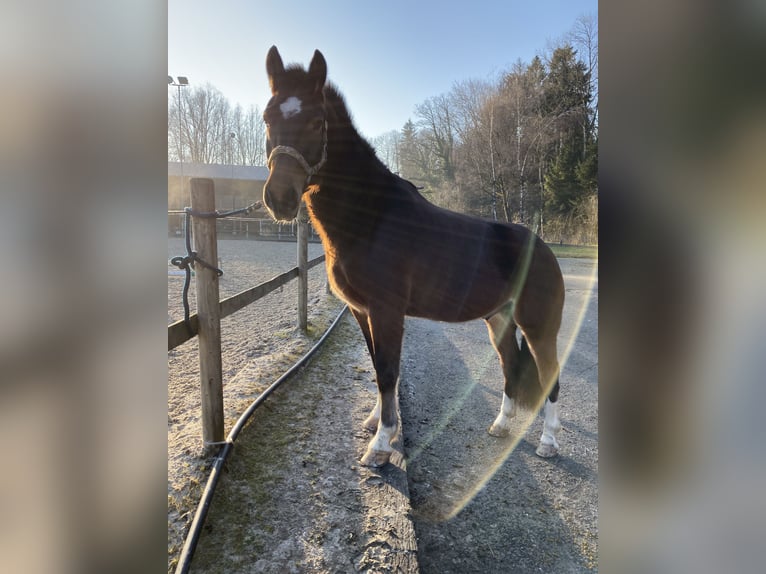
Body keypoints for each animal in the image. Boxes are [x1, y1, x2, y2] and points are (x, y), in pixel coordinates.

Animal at [260, 47, 568, 470]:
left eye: (316, 121)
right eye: (267, 117)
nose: (280, 198)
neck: (372, 217)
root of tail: (545, 249)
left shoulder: (386, 311)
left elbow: (389, 371)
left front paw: (380, 444)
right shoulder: (361, 311)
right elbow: (377, 367)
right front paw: (376, 422)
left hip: (538, 326)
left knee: (549, 372)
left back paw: (549, 441)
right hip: (499, 320)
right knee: (509, 364)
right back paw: (501, 426)